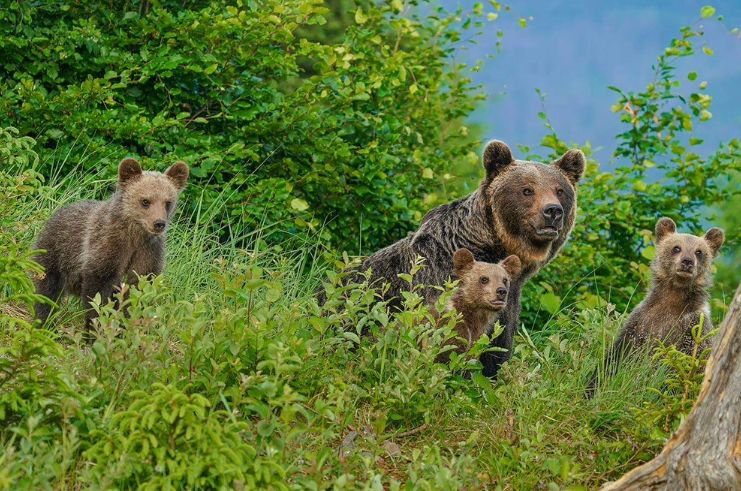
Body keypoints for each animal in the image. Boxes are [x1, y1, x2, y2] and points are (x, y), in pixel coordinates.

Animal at [358, 140, 584, 378]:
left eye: (560, 190)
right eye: (527, 190)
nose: (553, 211)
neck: (493, 246)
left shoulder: (510, 298)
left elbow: (497, 347)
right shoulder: (439, 282)